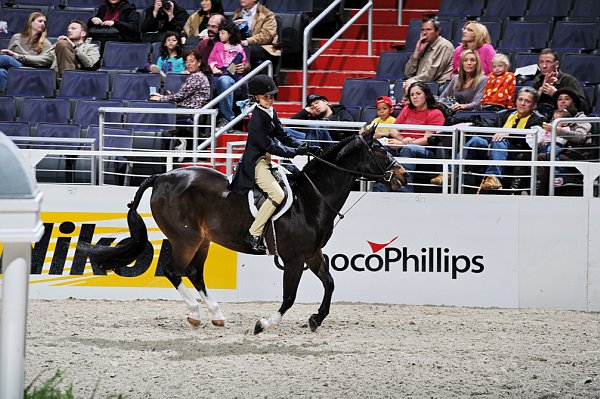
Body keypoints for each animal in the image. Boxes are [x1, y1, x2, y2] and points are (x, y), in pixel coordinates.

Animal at [82, 130, 406, 334]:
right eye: (379, 148)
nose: (402, 175)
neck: (312, 198)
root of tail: (162, 175)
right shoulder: (294, 259)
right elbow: (289, 297)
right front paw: (263, 325)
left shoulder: (313, 254)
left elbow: (330, 283)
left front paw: (316, 319)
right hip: (186, 238)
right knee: (173, 270)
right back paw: (196, 314)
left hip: (202, 240)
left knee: (194, 273)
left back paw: (216, 315)